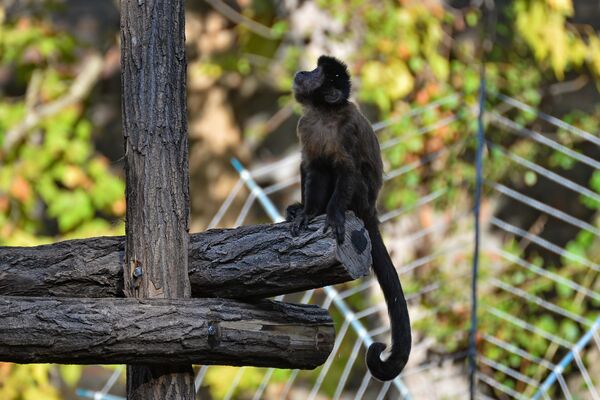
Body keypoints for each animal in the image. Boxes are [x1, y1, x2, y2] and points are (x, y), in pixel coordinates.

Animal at [288, 54, 412, 380]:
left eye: (316, 72)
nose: (303, 71)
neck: (324, 114)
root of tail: (372, 210)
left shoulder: (347, 130)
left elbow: (347, 170)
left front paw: (332, 216)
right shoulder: (306, 125)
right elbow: (312, 167)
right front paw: (307, 213)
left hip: (362, 198)